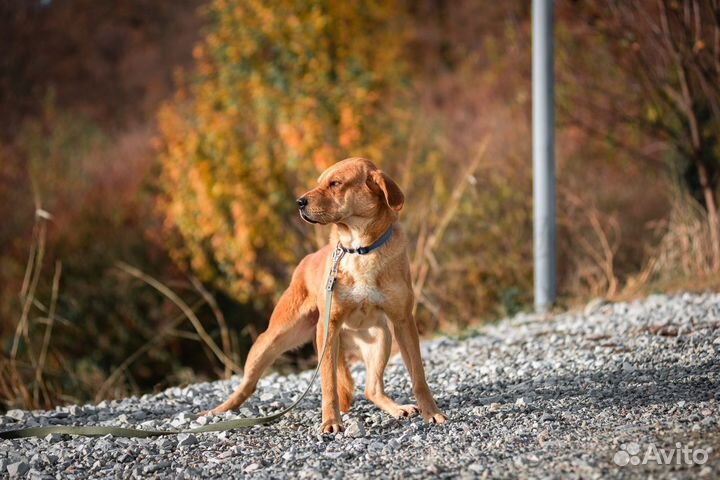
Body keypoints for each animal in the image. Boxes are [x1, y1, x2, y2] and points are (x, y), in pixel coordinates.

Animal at [205, 158, 448, 436]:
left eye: (335, 183)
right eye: (320, 182)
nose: (299, 202)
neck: (360, 249)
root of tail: (306, 260)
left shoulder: (403, 322)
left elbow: (418, 376)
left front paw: (431, 412)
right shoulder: (328, 327)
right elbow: (329, 384)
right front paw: (331, 421)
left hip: (381, 338)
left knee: (372, 389)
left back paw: (397, 408)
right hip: (276, 338)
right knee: (247, 383)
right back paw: (217, 412)